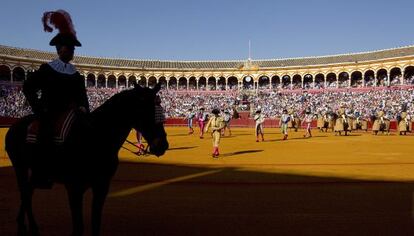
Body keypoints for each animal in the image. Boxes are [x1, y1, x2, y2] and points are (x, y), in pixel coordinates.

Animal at [4, 83, 170, 236]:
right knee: (25, 192)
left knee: (28, 191)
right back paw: (30, 227)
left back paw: (24, 224)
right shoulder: (74, 187)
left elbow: (95, 223)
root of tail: (15, 125)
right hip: (19, 166)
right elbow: (78, 227)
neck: (95, 136)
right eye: (144, 110)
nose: (162, 145)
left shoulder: (102, 186)